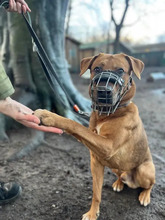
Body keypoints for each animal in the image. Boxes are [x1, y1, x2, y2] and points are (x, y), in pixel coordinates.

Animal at [34, 53, 155, 220]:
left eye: (120, 70)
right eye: (97, 69)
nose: (104, 91)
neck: (106, 114)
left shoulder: (107, 146)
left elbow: (75, 125)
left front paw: (49, 116)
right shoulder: (96, 161)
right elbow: (96, 193)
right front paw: (93, 213)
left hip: (144, 170)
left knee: (151, 184)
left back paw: (145, 196)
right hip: (117, 167)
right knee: (121, 175)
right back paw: (119, 183)